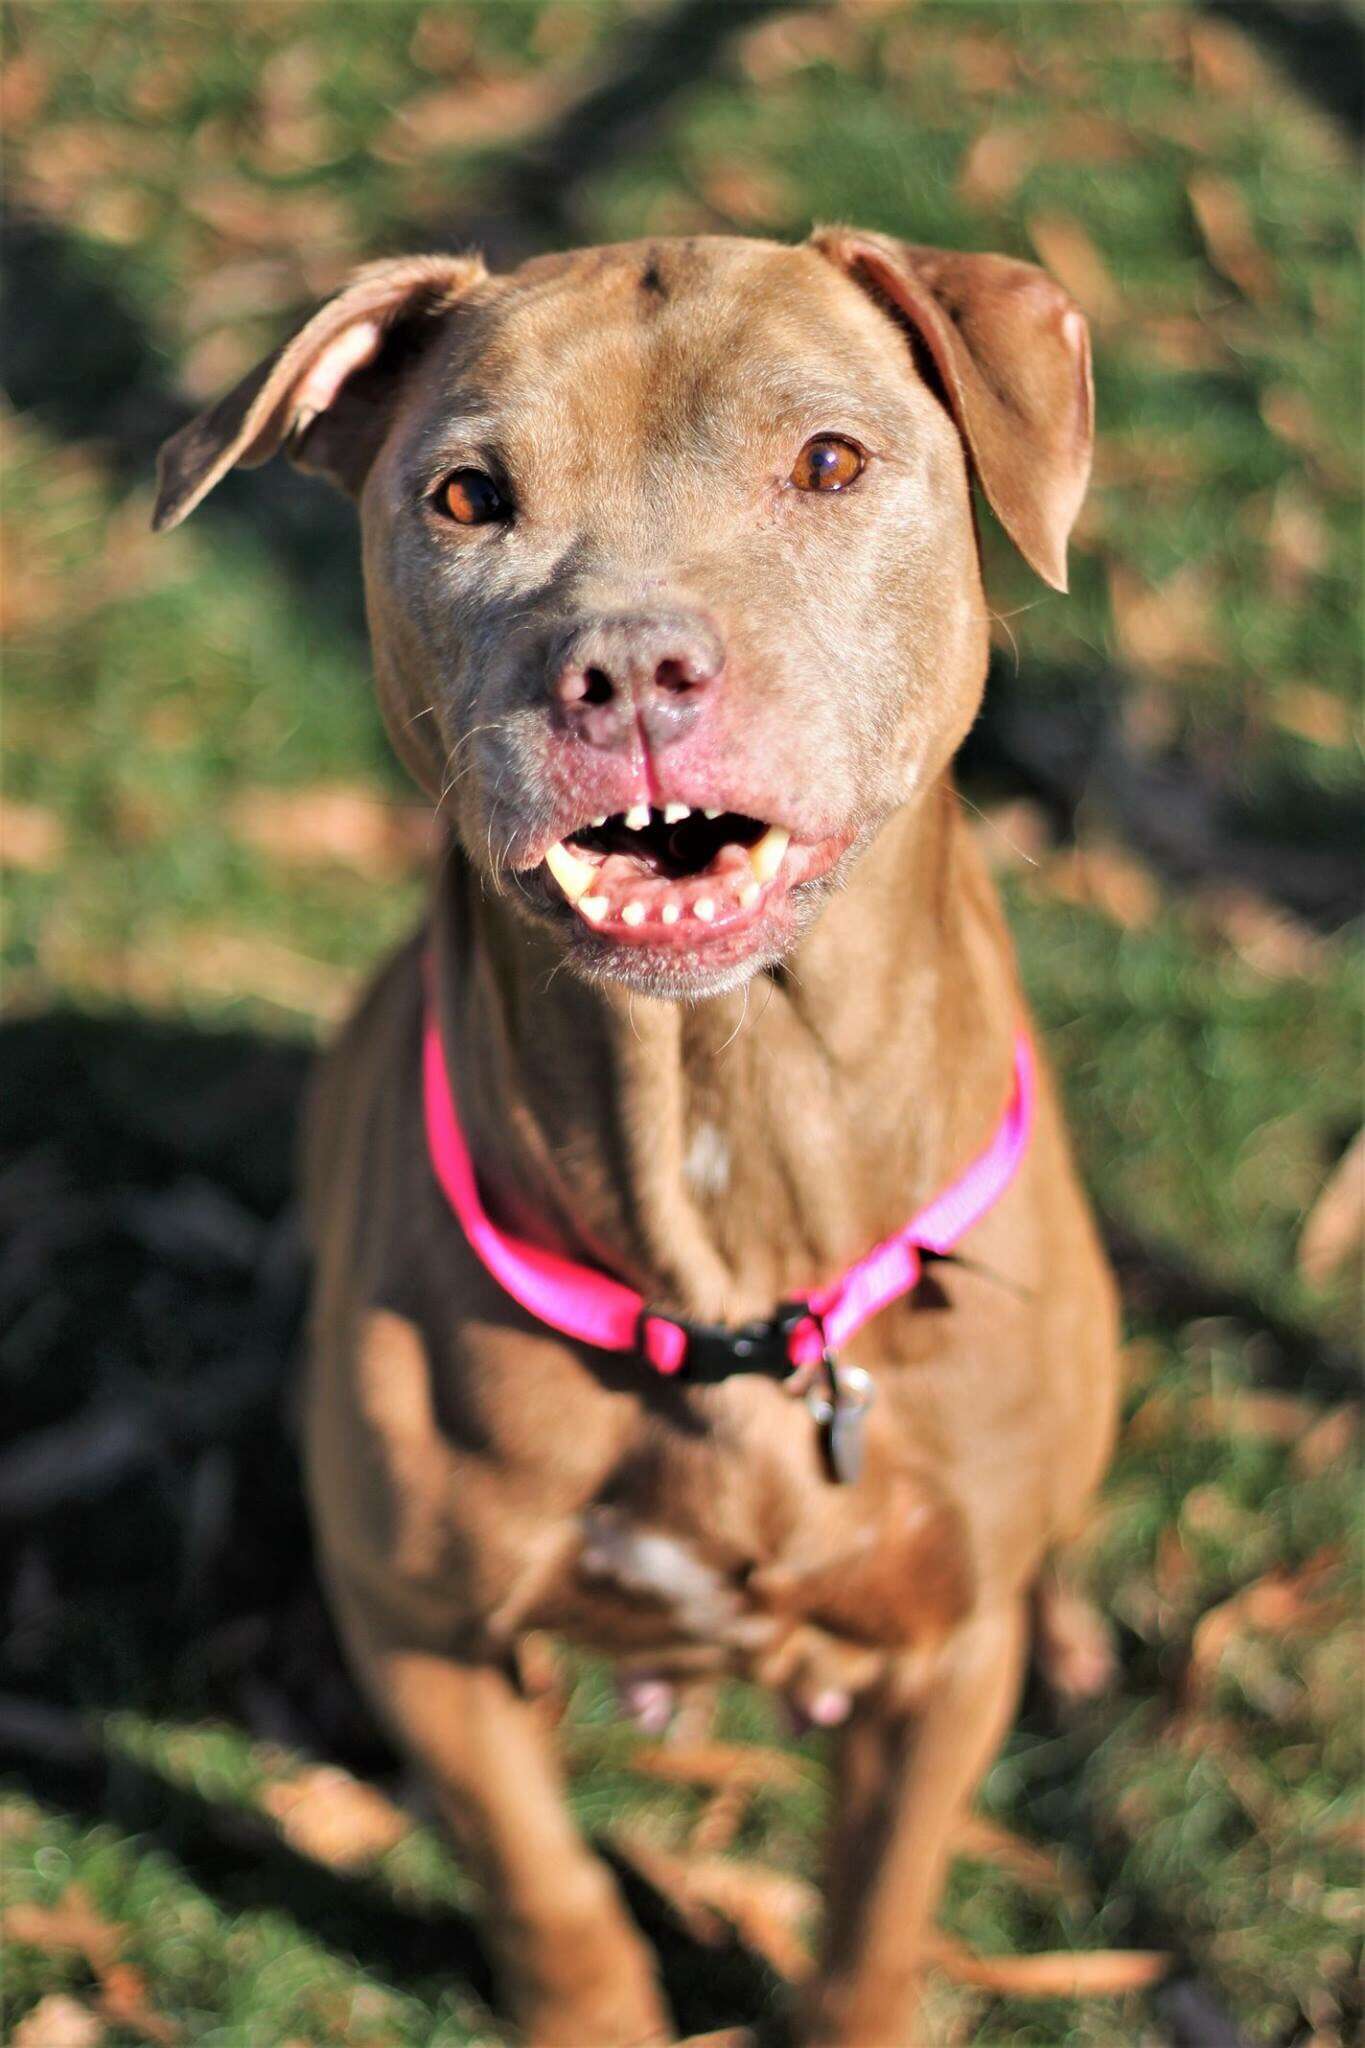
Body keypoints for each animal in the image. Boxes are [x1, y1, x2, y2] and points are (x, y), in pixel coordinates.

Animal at [157, 232, 1121, 2039]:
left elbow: (876, 1908)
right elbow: (548, 1885)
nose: (624, 671)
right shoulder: (429, 1637)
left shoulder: (941, 1666)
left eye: (829, 462)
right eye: (468, 495)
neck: (719, 1158)